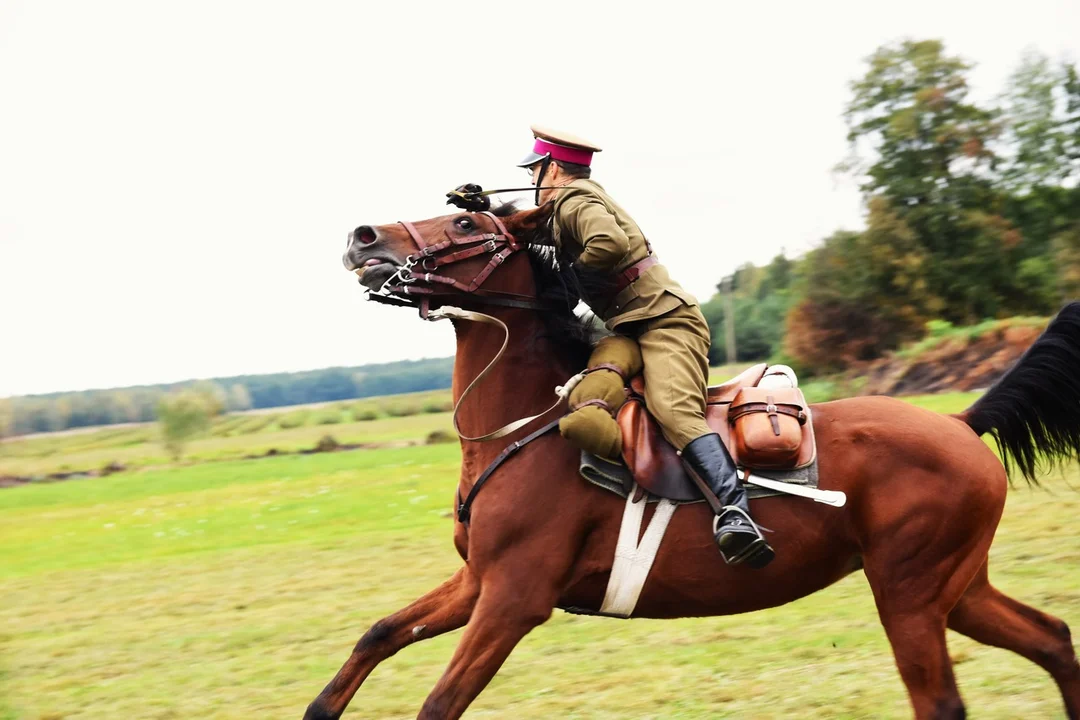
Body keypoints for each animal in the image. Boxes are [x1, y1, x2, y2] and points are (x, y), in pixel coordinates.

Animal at [306, 204, 1080, 720]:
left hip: (910, 595)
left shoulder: (513, 600)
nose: (363, 237)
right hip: (956, 589)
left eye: (465, 223)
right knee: (1053, 638)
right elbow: (378, 635)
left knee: (944, 701)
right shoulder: (478, 584)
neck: (527, 426)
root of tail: (958, 422)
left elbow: (438, 704)